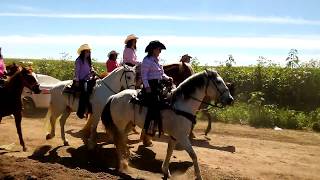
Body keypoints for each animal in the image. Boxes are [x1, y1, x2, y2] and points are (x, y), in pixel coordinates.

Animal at [101, 69, 234, 179]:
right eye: (218, 81)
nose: (230, 99)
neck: (181, 105)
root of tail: (114, 97)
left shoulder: (174, 136)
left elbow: (169, 151)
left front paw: (165, 170)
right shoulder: (182, 136)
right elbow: (193, 155)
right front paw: (198, 175)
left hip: (128, 125)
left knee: (122, 141)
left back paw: (127, 158)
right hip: (120, 125)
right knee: (118, 142)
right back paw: (122, 165)